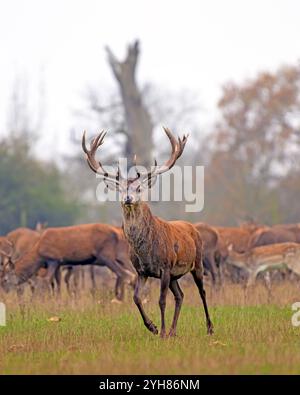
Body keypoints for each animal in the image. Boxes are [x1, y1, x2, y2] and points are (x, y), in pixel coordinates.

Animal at [1, 224, 135, 302]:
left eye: (5, 279)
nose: (5, 292)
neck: (38, 253)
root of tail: (118, 232)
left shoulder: (53, 259)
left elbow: (46, 280)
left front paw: (39, 301)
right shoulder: (59, 264)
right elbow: (57, 282)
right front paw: (57, 300)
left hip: (107, 255)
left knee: (126, 275)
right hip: (121, 256)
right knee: (133, 273)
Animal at [82, 127, 213, 338]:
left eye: (139, 188)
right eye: (120, 189)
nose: (127, 198)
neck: (146, 252)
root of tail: (193, 228)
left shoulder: (165, 267)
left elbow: (161, 300)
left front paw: (161, 331)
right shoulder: (142, 271)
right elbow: (136, 298)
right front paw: (153, 327)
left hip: (197, 262)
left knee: (202, 292)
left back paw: (209, 328)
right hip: (175, 275)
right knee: (180, 295)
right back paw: (174, 331)